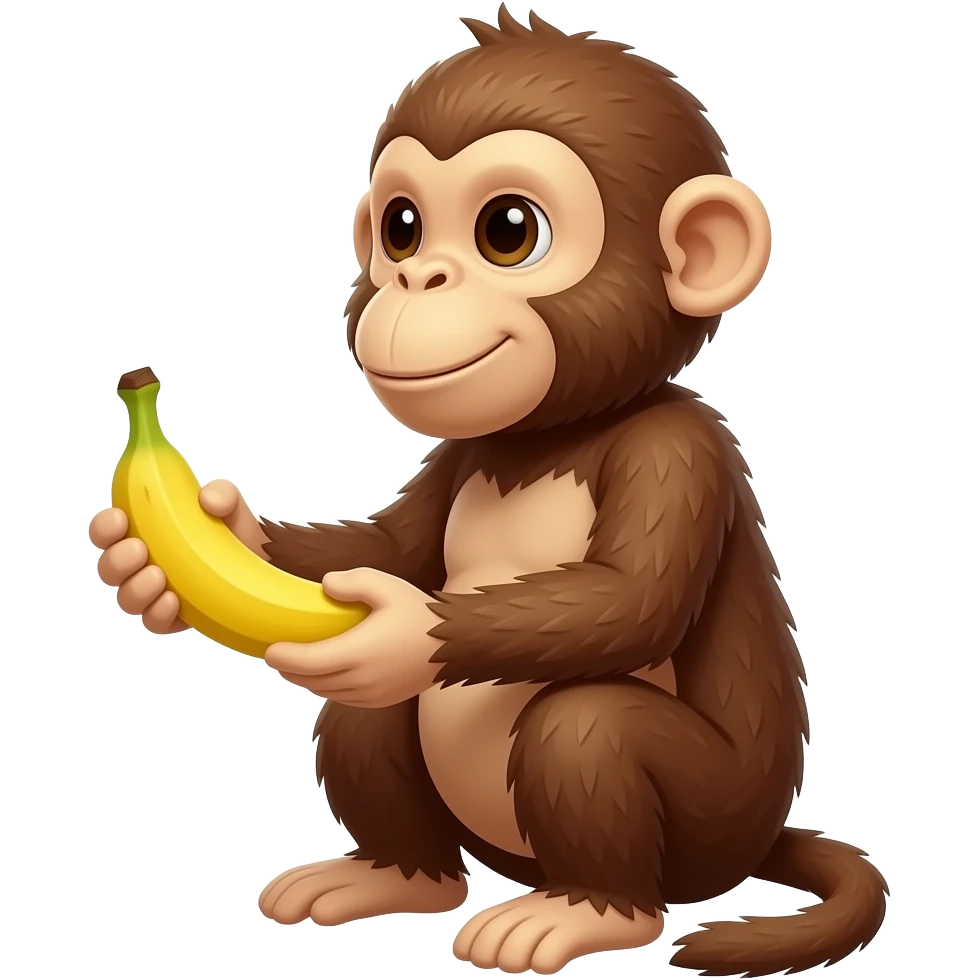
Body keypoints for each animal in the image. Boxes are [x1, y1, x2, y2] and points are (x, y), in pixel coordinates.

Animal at [90, 6, 889, 976]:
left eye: (508, 230)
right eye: (400, 226)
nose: (413, 276)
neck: (546, 437)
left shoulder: (680, 454)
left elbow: (633, 598)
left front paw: (404, 634)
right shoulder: (459, 455)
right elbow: (388, 548)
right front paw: (192, 540)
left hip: (711, 825)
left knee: (585, 727)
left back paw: (584, 912)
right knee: (373, 724)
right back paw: (391, 877)